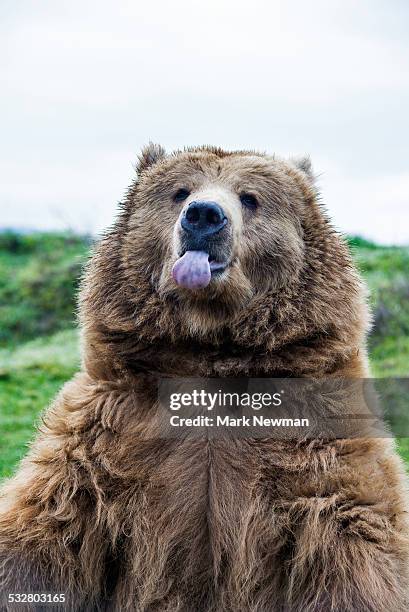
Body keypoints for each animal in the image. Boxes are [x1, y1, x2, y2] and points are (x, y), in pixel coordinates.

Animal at [0, 145, 408, 612]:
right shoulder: (103, 439)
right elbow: (42, 532)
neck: (208, 345)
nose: (203, 215)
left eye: (250, 197)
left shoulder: (316, 443)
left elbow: (354, 545)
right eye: (181, 191)